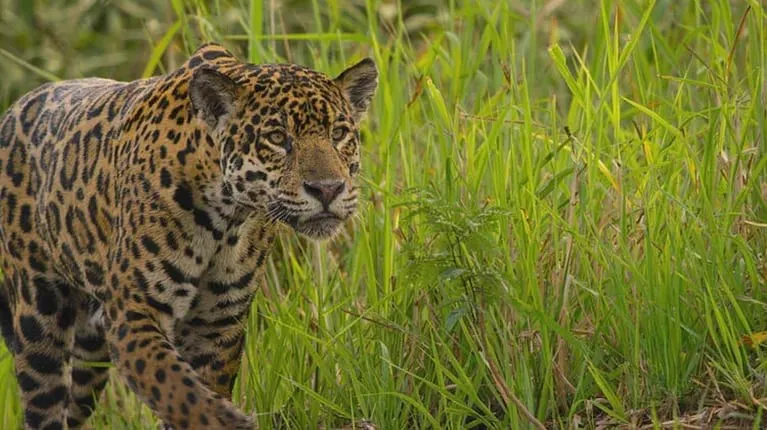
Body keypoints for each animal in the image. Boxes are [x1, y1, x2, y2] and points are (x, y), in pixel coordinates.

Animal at [0, 42, 377, 429]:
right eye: (277, 138)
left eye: (338, 134)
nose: (328, 189)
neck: (226, 219)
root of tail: (15, 107)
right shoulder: (134, 312)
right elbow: (177, 388)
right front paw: (228, 421)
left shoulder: (216, 324)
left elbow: (194, 389)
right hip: (38, 319)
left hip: (90, 351)